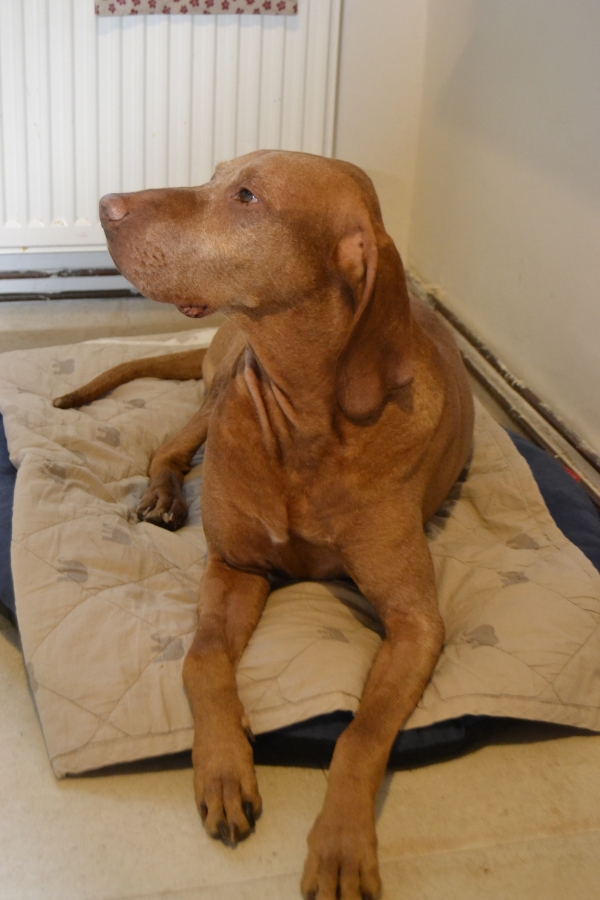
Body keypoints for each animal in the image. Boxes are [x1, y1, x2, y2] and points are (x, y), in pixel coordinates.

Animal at [54, 150, 474, 900]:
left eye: (248, 196)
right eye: (217, 175)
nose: (105, 206)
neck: (306, 421)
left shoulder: (418, 622)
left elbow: (362, 732)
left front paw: (342, 843)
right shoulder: (236, 566)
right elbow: (201, 658)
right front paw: (225, 764)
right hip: (217, 390)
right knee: (166, 449)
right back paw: (164, 496)